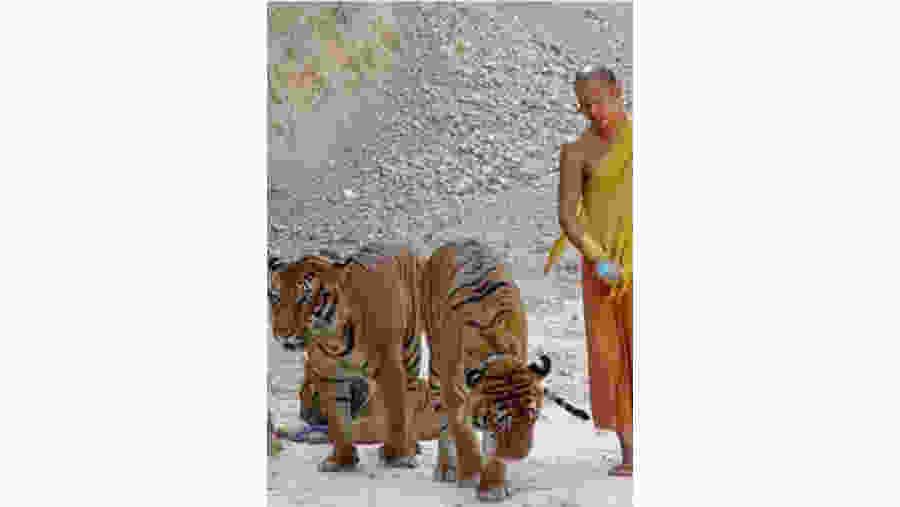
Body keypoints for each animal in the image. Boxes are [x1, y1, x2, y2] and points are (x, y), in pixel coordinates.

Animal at [269, 242, 442, 471]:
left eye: (303, 298)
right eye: (275, 297)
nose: (281, 334)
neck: (332, 339)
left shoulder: (390, 368)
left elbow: (396, 413)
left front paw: (397, 455)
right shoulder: (329, 374)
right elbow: (338, 420)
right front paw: (342, 459)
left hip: (410, 350)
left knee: (409, 398)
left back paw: (410, 446)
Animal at [420, 238, 552, 503]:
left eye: (532, 415)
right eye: (502, 419)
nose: (519, 456)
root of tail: (455, 240)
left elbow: (491, 446)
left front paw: (492, 485)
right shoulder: (453, 391)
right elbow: (462, 432)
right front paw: (471, 473)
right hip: (436, 365)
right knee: (442, 423)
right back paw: (446, 468)